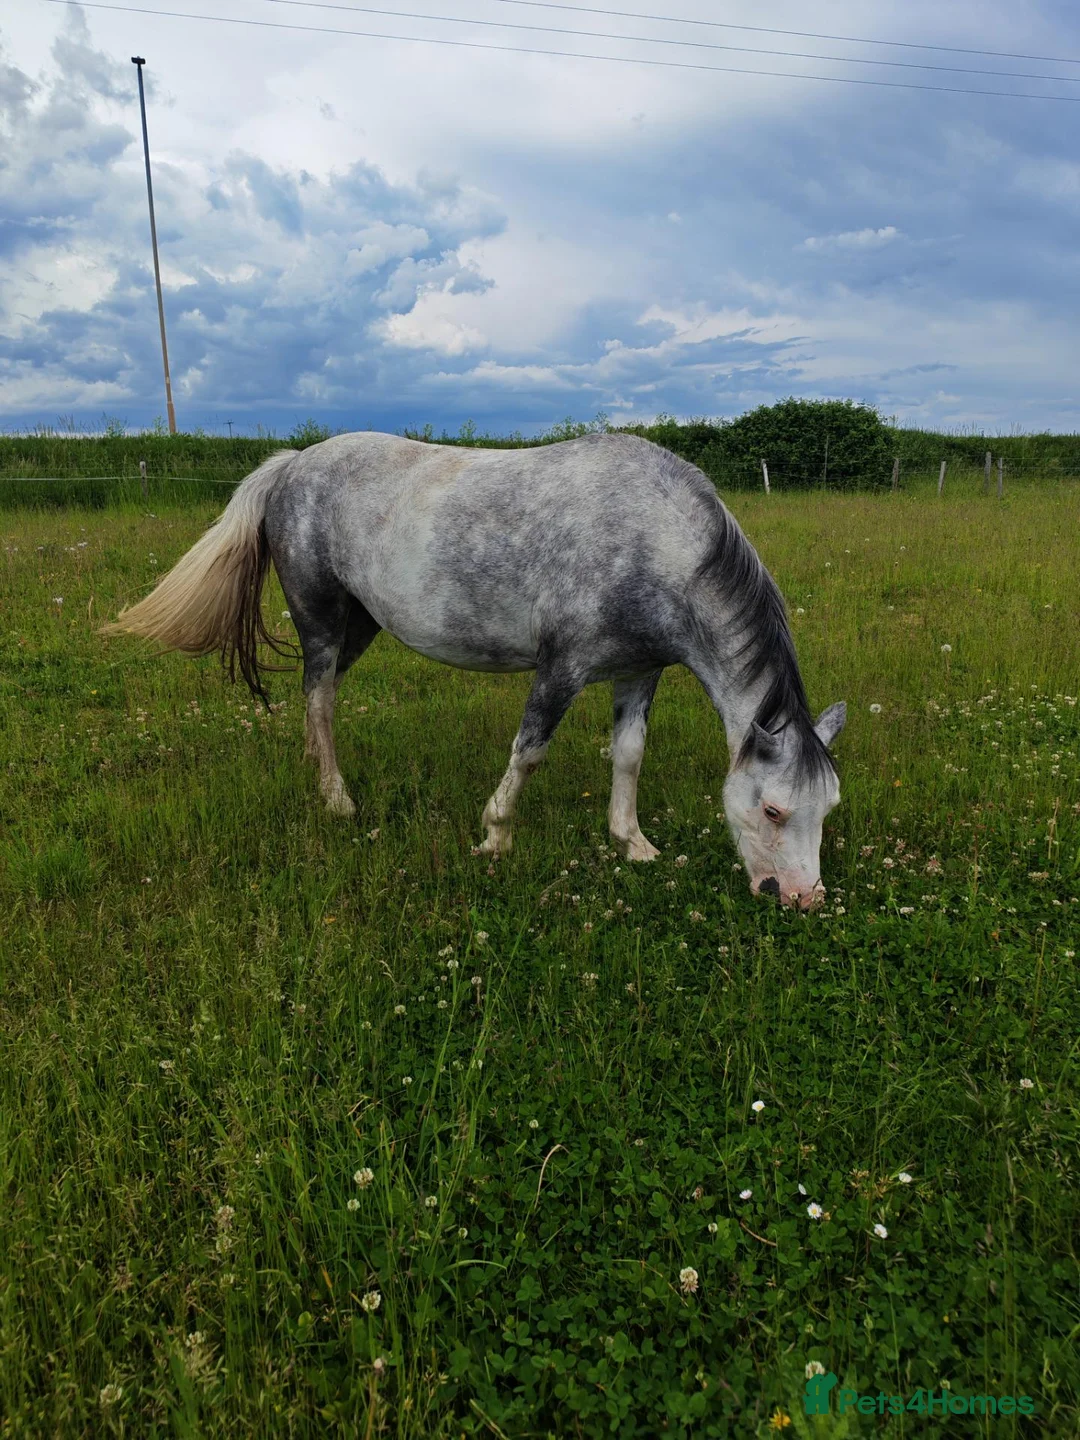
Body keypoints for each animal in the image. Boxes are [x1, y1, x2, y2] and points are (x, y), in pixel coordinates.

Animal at [103, 431, 845, 908]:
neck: (652, 538)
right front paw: (495, 835)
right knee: (319, 696)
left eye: (828, 807)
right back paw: (338, 798)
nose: (805, 898)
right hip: (321, 620)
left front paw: (632, 843)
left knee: (323, 699)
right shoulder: (562, 667)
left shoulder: (639, 672)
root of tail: (292, 464)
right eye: (773, 809)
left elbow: (629, 754)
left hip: (362, 624)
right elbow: (529, 751)